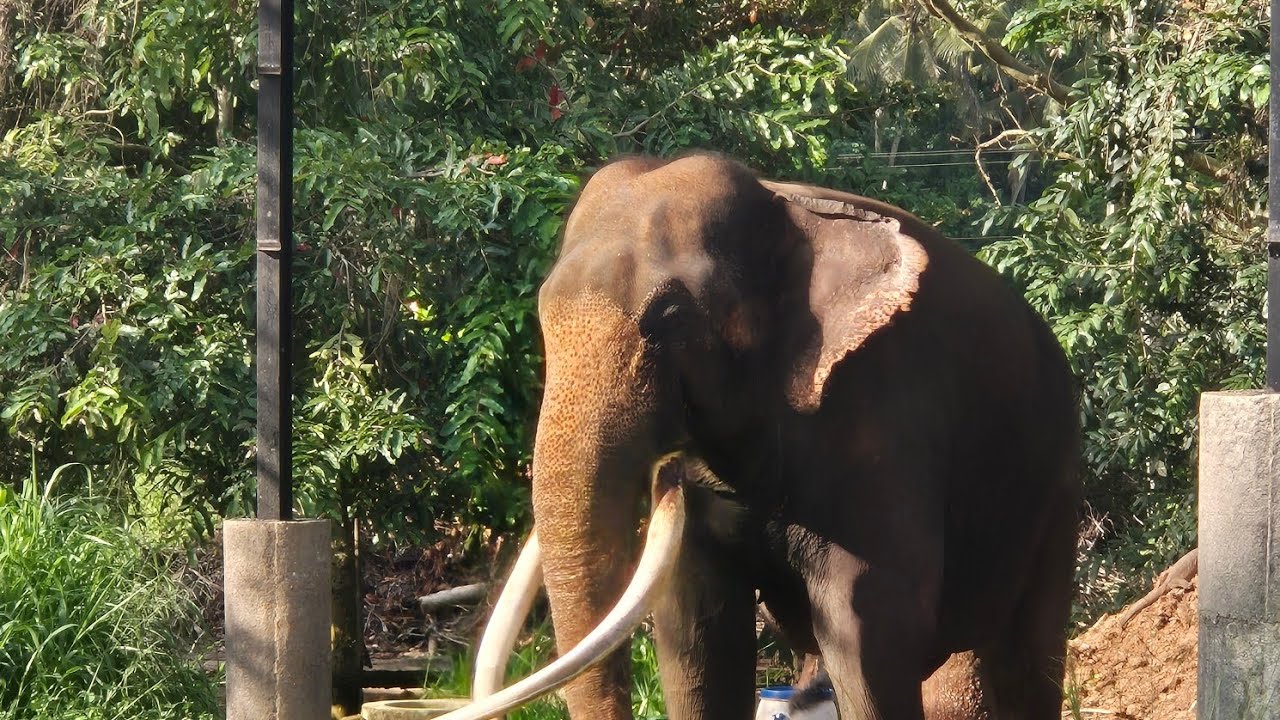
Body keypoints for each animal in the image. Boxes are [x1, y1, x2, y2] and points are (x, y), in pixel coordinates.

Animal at [444, 152, 1082, 720]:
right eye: (541, 311)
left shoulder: (885, 413)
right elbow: (697, 627)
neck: (785, 207)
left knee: (1026, 657)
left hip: (1056, 480)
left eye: (674, 319)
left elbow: (870, 623)